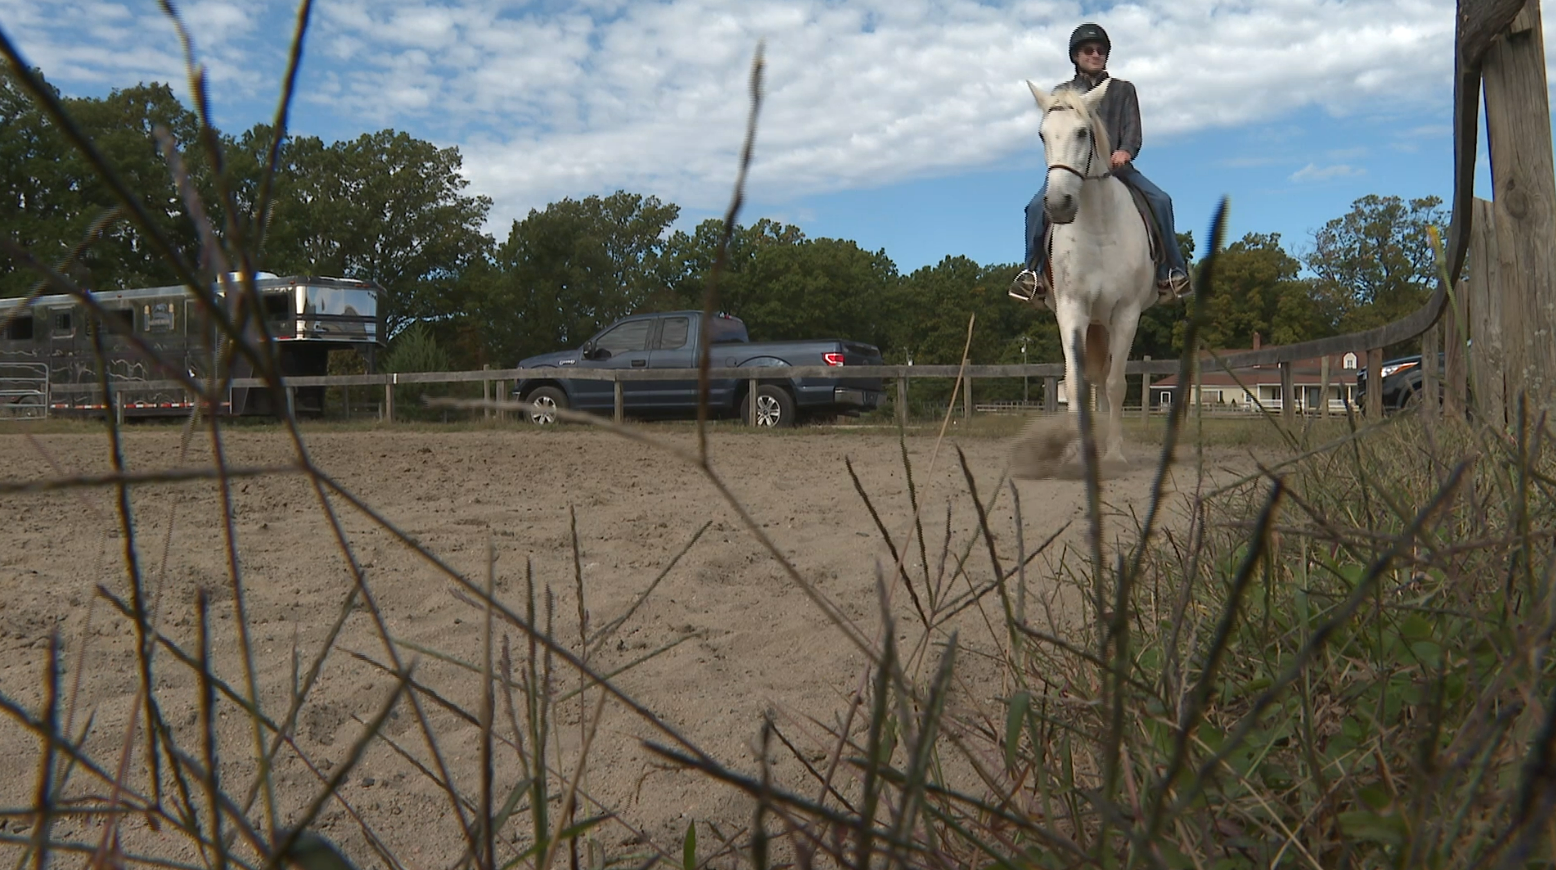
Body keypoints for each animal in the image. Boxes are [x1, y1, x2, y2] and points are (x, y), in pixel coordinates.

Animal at [1011, 78, 1158, 478]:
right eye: (1042, 135)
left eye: (1082, 132)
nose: (1059, 205)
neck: (1099, 226)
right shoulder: (1072, 309)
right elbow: (1076, 385)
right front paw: (1077, 452)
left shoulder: (1126, 314)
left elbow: (1117, 385)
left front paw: (1115, 454)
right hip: (1093, 322)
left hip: (1105, 323)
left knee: (1106, 384)